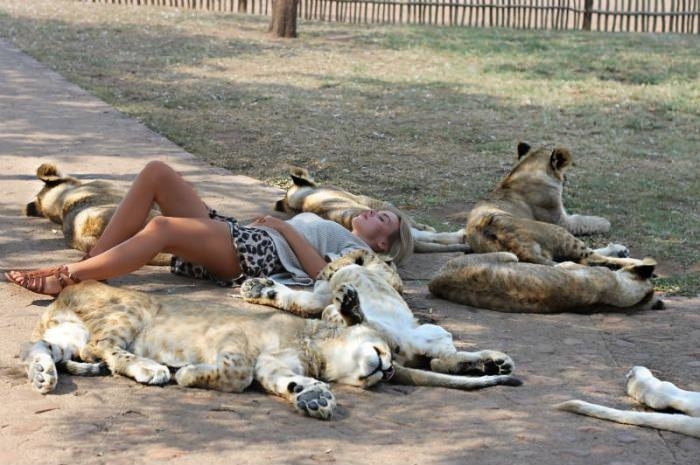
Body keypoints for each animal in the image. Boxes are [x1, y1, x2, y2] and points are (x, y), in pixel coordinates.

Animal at [21, 280, 396, 420]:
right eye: (387, 348)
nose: (390, 369)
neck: (314, 348)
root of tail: (62, 293)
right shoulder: (231, 335)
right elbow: (238, 374)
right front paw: (186, 373)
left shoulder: (272, 366)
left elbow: (285, 381)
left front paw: (314, 397)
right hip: (131, 311)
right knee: (101, 346)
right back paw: (151, 368)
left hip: (67, 334)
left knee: (43, 348)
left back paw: (42, 375)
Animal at [240, 249, 522, 386]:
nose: (323, 274)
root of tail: (406, 351)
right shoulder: (325, 293)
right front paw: (256, 287)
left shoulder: (325, 292)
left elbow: (304, 298)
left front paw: (257, 287)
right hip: (424, 335)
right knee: (440, 361)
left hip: (428, 333)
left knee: (440, 360)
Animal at [275, 167, 469, 255]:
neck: (300, 200)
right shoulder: (369, 200)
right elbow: (417, 224)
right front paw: (428, 227)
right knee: (429, 237)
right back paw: (461, 235)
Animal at [465, 143, 644, 268]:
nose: (566, 179)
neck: (524, 170)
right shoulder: (561, 221)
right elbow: (584, 220)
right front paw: (604, 222)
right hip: (559, 231)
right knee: (592, 258)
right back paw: (637, 261)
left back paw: (622, 251)